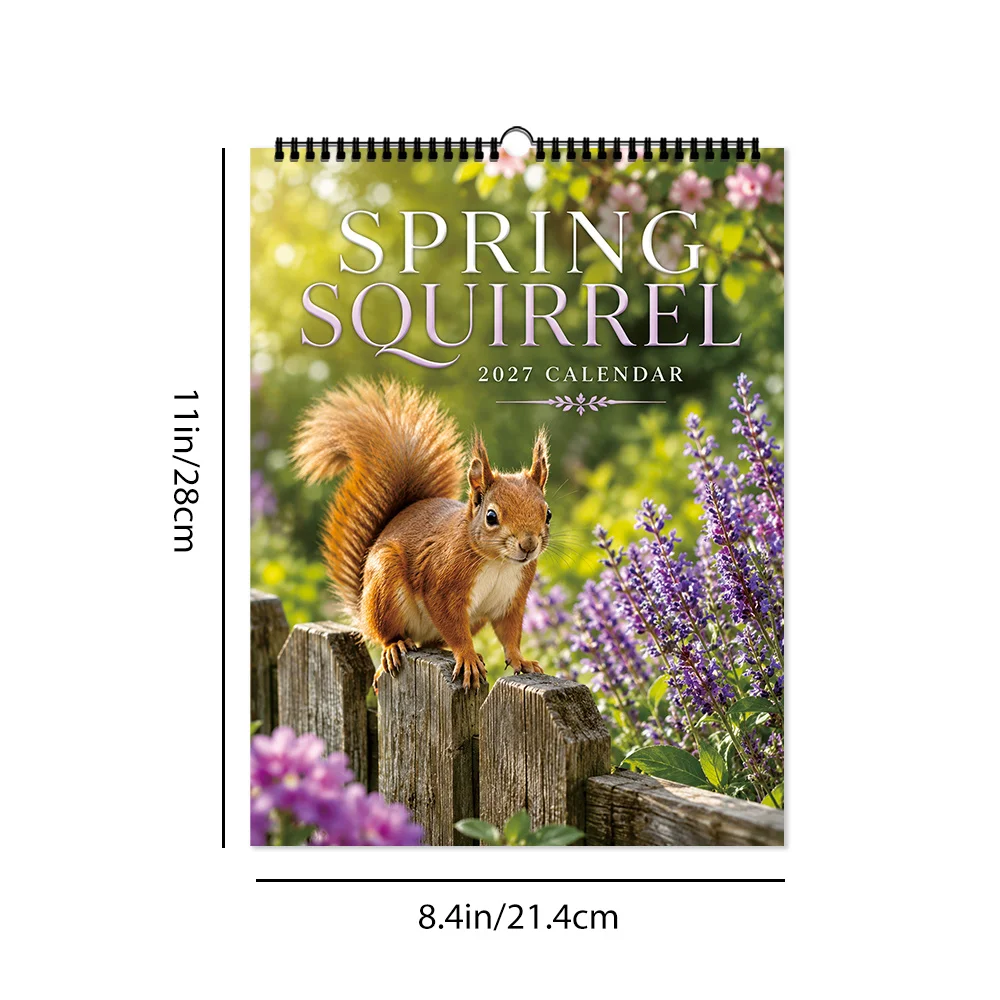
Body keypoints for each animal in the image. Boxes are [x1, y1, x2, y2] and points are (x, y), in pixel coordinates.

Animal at [292, 378, 550, 692]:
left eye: (548, 514)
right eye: (491, 516)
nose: (528, 545)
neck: (498, 563)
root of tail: (362, 607)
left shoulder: (512, 599)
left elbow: (509, 634)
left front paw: (520, 660)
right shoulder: (442, 585)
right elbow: (453, 625)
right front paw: (467, 656)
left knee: (432, 641)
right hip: (385, 586)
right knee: (386, 634)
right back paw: (394, 648)